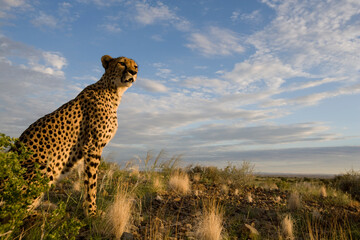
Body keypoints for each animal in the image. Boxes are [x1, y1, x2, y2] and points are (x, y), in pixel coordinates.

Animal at [16, 54, 138, 216]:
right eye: (122, 63)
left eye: (135, 66)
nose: (133, 72)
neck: (114, 91)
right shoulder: (93, 146)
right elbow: (91, 182)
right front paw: (92, 213)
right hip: (43, 167)